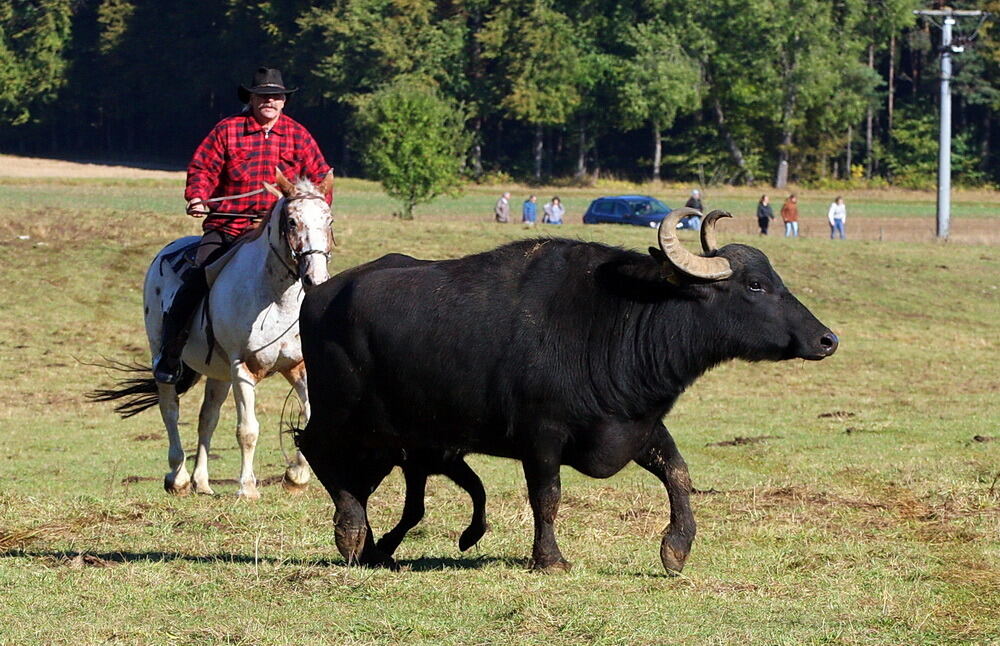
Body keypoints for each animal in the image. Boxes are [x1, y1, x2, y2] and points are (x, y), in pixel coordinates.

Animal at [91, 170, 332, 498]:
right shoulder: (243, 368)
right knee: (170, 410)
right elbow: (247, 430)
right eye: (293, 221)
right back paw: (178, 478)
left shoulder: (298, 366)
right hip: (163, 359)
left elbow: (309, 418)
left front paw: (296, 476)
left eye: (329, 220)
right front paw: (247, 488)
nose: (316, 278)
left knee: (207, 418)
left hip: (218, 373)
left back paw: (201, 482)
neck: (275, 298)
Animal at [294, 210, 836, 576]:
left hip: (392, 439)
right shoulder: (542, 435)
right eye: (756, 285)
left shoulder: (636, 426)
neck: (617, 323)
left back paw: (375, 546)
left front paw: (676, 549)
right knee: (314, 449)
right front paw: (549, 558)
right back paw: (350, 533)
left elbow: (679, 474)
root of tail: (320, 294)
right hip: (343, 413)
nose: (827, 339)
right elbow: (547, 496)